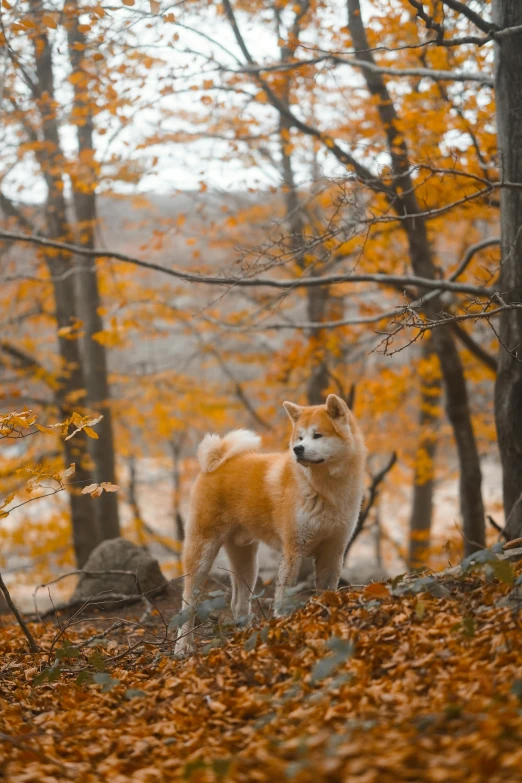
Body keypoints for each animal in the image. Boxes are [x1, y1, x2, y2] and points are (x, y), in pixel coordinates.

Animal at [177, 396, 364, 652]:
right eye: (300, 437)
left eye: (317, 435)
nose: (297, 449)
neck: (326, 491)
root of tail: (218, 462)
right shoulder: (294, 549)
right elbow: (284, 596)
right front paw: (283, 626)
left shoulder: (334, 549)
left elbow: (327, 591)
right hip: (202, 552)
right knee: (188, 603)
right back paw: (182, 647)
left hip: (247, 560)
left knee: (239, 604)